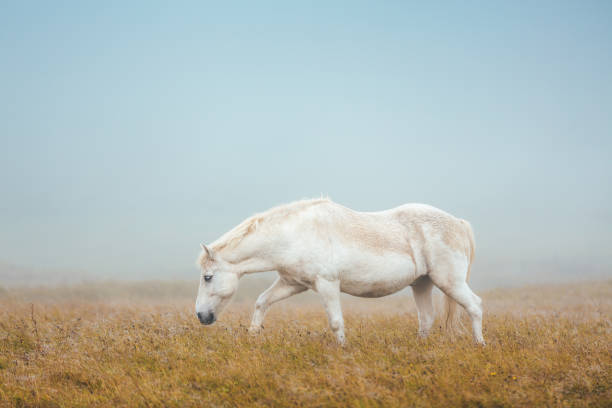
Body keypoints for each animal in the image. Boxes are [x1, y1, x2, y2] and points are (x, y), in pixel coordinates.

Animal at [195, 198, 482, 344]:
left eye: (208, 277)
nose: (201, 316)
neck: (295, 235)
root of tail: (458, 222)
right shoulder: (292, 283)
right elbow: (261, 302)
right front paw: (253, 336)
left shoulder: (327, 284)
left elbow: (335, 322)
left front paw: (341, 350)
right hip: (422, 283)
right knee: (426, 319)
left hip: (449, 282)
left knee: (475, 306)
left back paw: (479, 344)